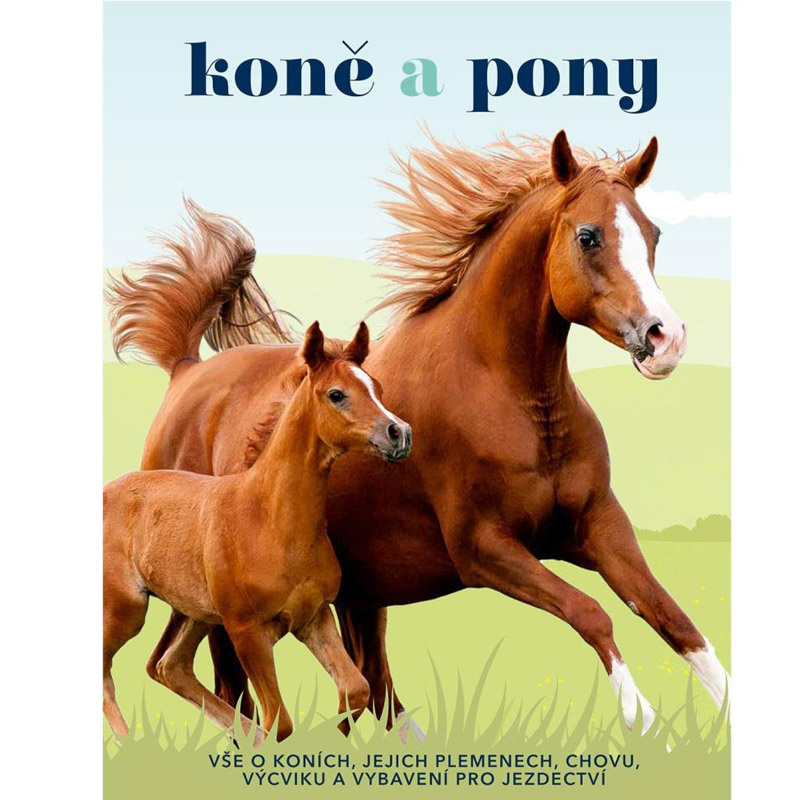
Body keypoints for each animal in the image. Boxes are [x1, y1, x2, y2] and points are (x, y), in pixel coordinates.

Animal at [103, 321, 412, 741]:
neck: (271, 520)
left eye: (376, 387)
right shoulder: (247, 631)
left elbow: (356, 690)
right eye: (336, 394)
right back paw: (128, 742)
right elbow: (280, 721)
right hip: (127, 608)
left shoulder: (314, 618)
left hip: (196, 612)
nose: (399, 433)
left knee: (168, 665)